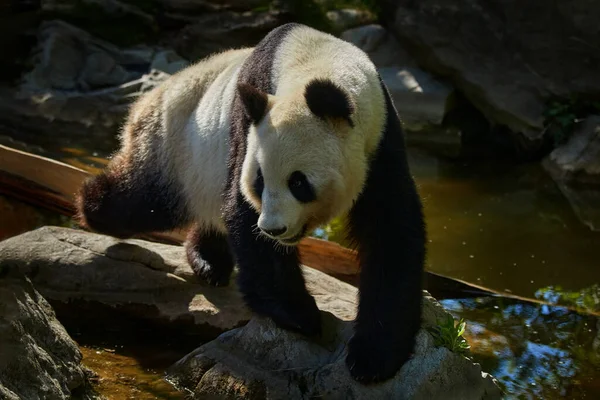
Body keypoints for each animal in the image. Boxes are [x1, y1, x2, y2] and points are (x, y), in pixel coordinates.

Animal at [77, 22, 426, 384]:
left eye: (298, 182)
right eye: (259, 180)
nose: (273, 229)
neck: (315, 62)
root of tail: (150, 97)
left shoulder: (381, 142)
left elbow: (392, 231)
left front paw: (373, 357)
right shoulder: (248, 127)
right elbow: (241, 207)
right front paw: (298, 313)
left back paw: (209, 261)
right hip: (173, 147)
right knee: (138, 200)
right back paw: (93, 202)